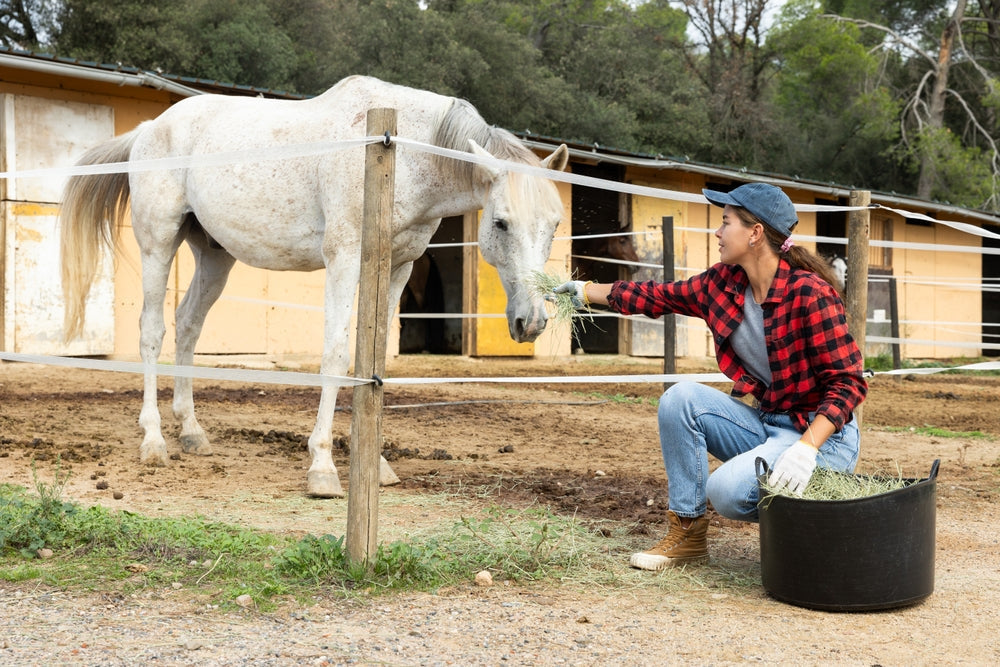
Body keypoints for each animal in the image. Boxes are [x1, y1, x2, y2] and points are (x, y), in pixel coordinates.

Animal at [59, 75, 569, 498]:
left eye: (555, 224)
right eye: (500, 223)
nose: (530, 322)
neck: (400, 153)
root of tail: (149, 128)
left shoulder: (398, 267)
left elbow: (374, 360)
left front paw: (377, 463)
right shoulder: (344, 258)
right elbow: (336, 355)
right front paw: (322, 468)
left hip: (214, 254)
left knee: (187, 326)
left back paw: (192, 432)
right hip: (158, 242)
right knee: (152, 332)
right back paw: (154, 441)